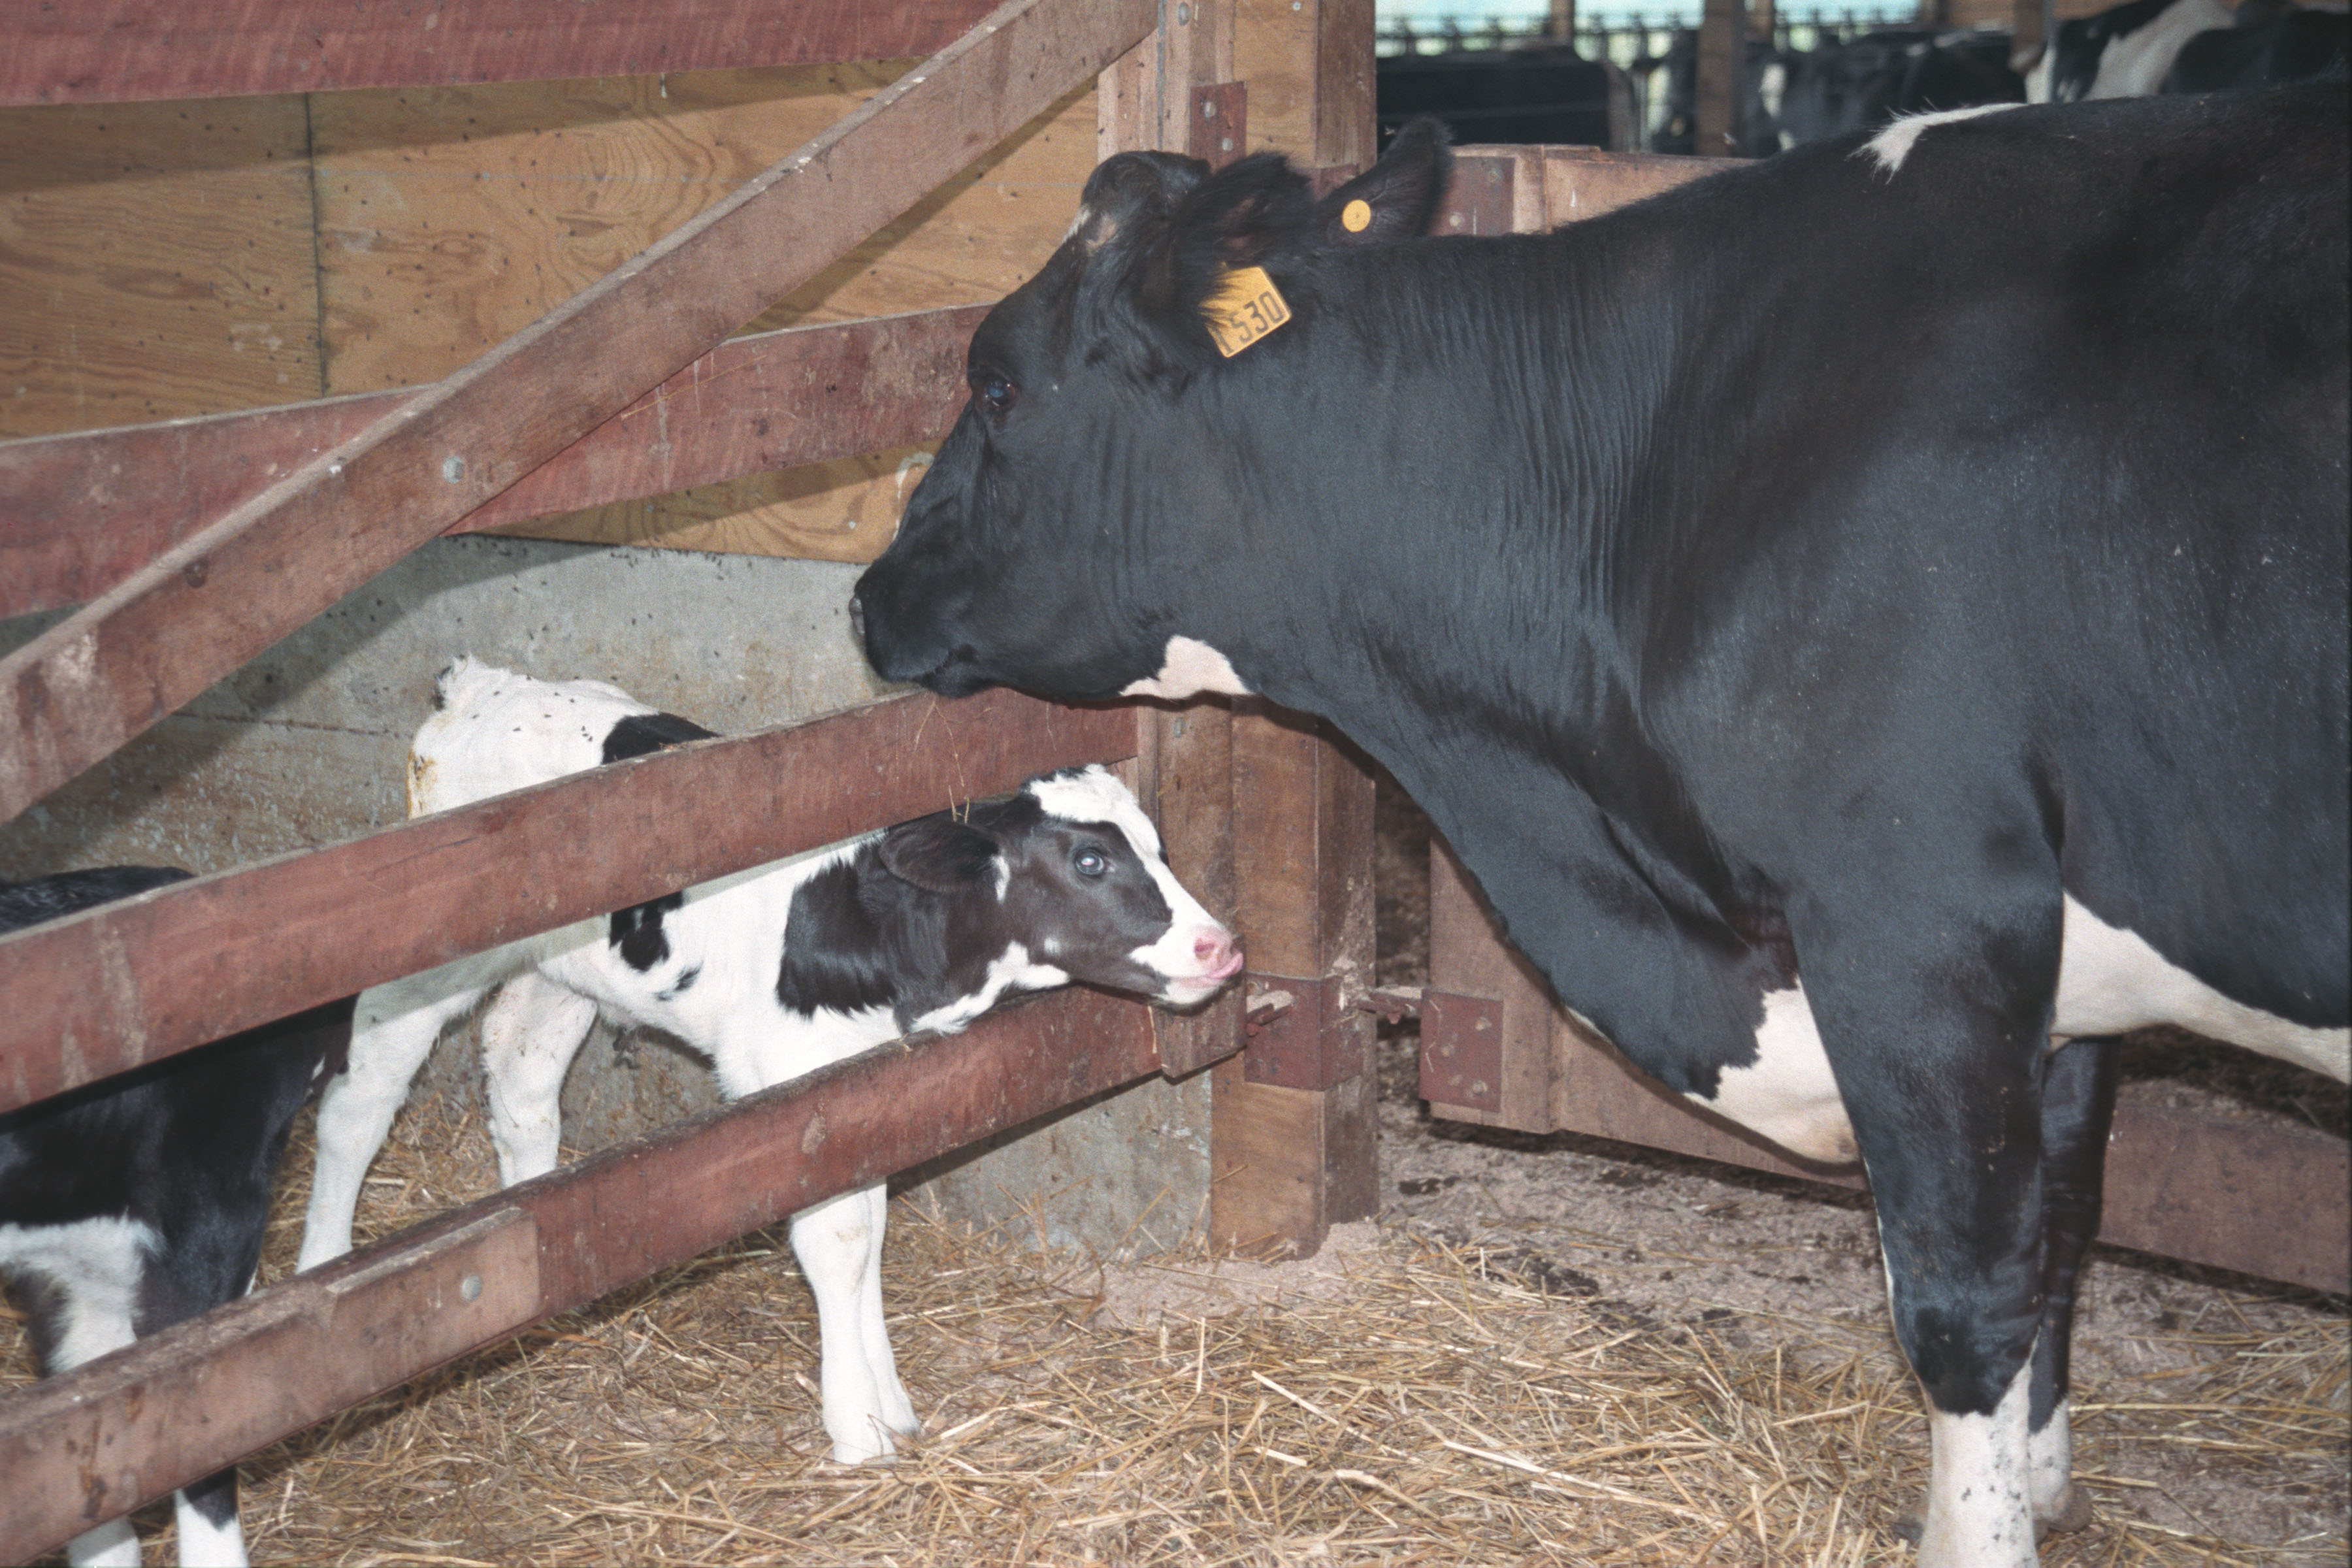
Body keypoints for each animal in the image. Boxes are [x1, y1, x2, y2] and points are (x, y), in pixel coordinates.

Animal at [303, 658, 1241, 1467]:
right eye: (1090, 859)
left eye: (1158, 847)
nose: (1222, 945)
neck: (867, 925)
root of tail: (483, 682)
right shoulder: (795, 1097)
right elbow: (837, 1243)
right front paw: (857, 1429)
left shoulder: (866, 1086)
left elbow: (869, 1231)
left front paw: (890, 1406)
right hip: (419, 964)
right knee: (361, 1099)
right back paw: (323, 1276)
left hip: (562, 974)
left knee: (521, 1076)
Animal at [847, 88, 2352, 1568]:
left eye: (998, 381)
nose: (867, 596)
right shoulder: (2062, 981)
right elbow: (2064, 1228)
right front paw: (2042, 1492)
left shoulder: (1922, 914)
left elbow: (1963, 1297)